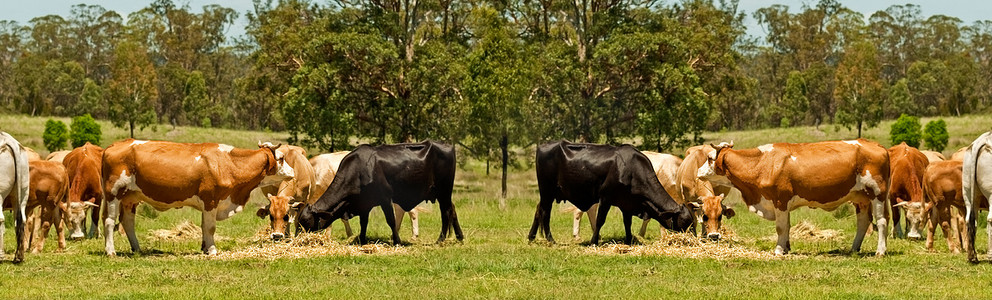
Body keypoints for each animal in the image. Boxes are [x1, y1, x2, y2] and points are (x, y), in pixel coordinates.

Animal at [101, 139, 294, 255]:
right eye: (282, 158)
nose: (292, 172)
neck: (228, 163)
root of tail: (113, 146)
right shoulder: (210, 200)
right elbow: (210, 228)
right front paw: (212, 250)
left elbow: (203, 227)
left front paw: (204, 248)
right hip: (113, 193)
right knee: (109, 221)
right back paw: (111, 251)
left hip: (130, 198)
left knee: (128, 222)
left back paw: (137, 249)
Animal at [296, 140, 464, 244]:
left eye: (306, 222)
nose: (300, 238)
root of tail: (446, 145)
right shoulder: (364, 204)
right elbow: (364, 222)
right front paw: (362, 239)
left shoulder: (385, 198)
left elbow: (391, 220)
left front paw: (397, 241)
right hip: (443, 193)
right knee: (452, 209)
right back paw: (459, 237)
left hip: (444, 191)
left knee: (446, 212)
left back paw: (441, 239)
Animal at [528, 141, 696, 244]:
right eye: (684, 222)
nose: (691, 238)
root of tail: (544, 145)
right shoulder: (606, 198)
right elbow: (600, 220)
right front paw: (594, 241)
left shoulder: (627, 203)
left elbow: (627, 223)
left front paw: (629, 240)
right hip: (547, 192)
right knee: (546, 213)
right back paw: (550, 239)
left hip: (547, 194)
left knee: (538, 210)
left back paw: (531, 237)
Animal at [696, 140, 892, 255]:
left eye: (709, 157)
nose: (698, 172)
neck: (762, 163)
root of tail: (878, 146)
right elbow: (787, 227)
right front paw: (786, 248)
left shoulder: (780, 200)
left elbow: (781, 228)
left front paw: (778, 250)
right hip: (861, 198)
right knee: (863, 222)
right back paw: (853, 249)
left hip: (878, 193)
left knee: (882, 221)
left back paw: (880, 251)